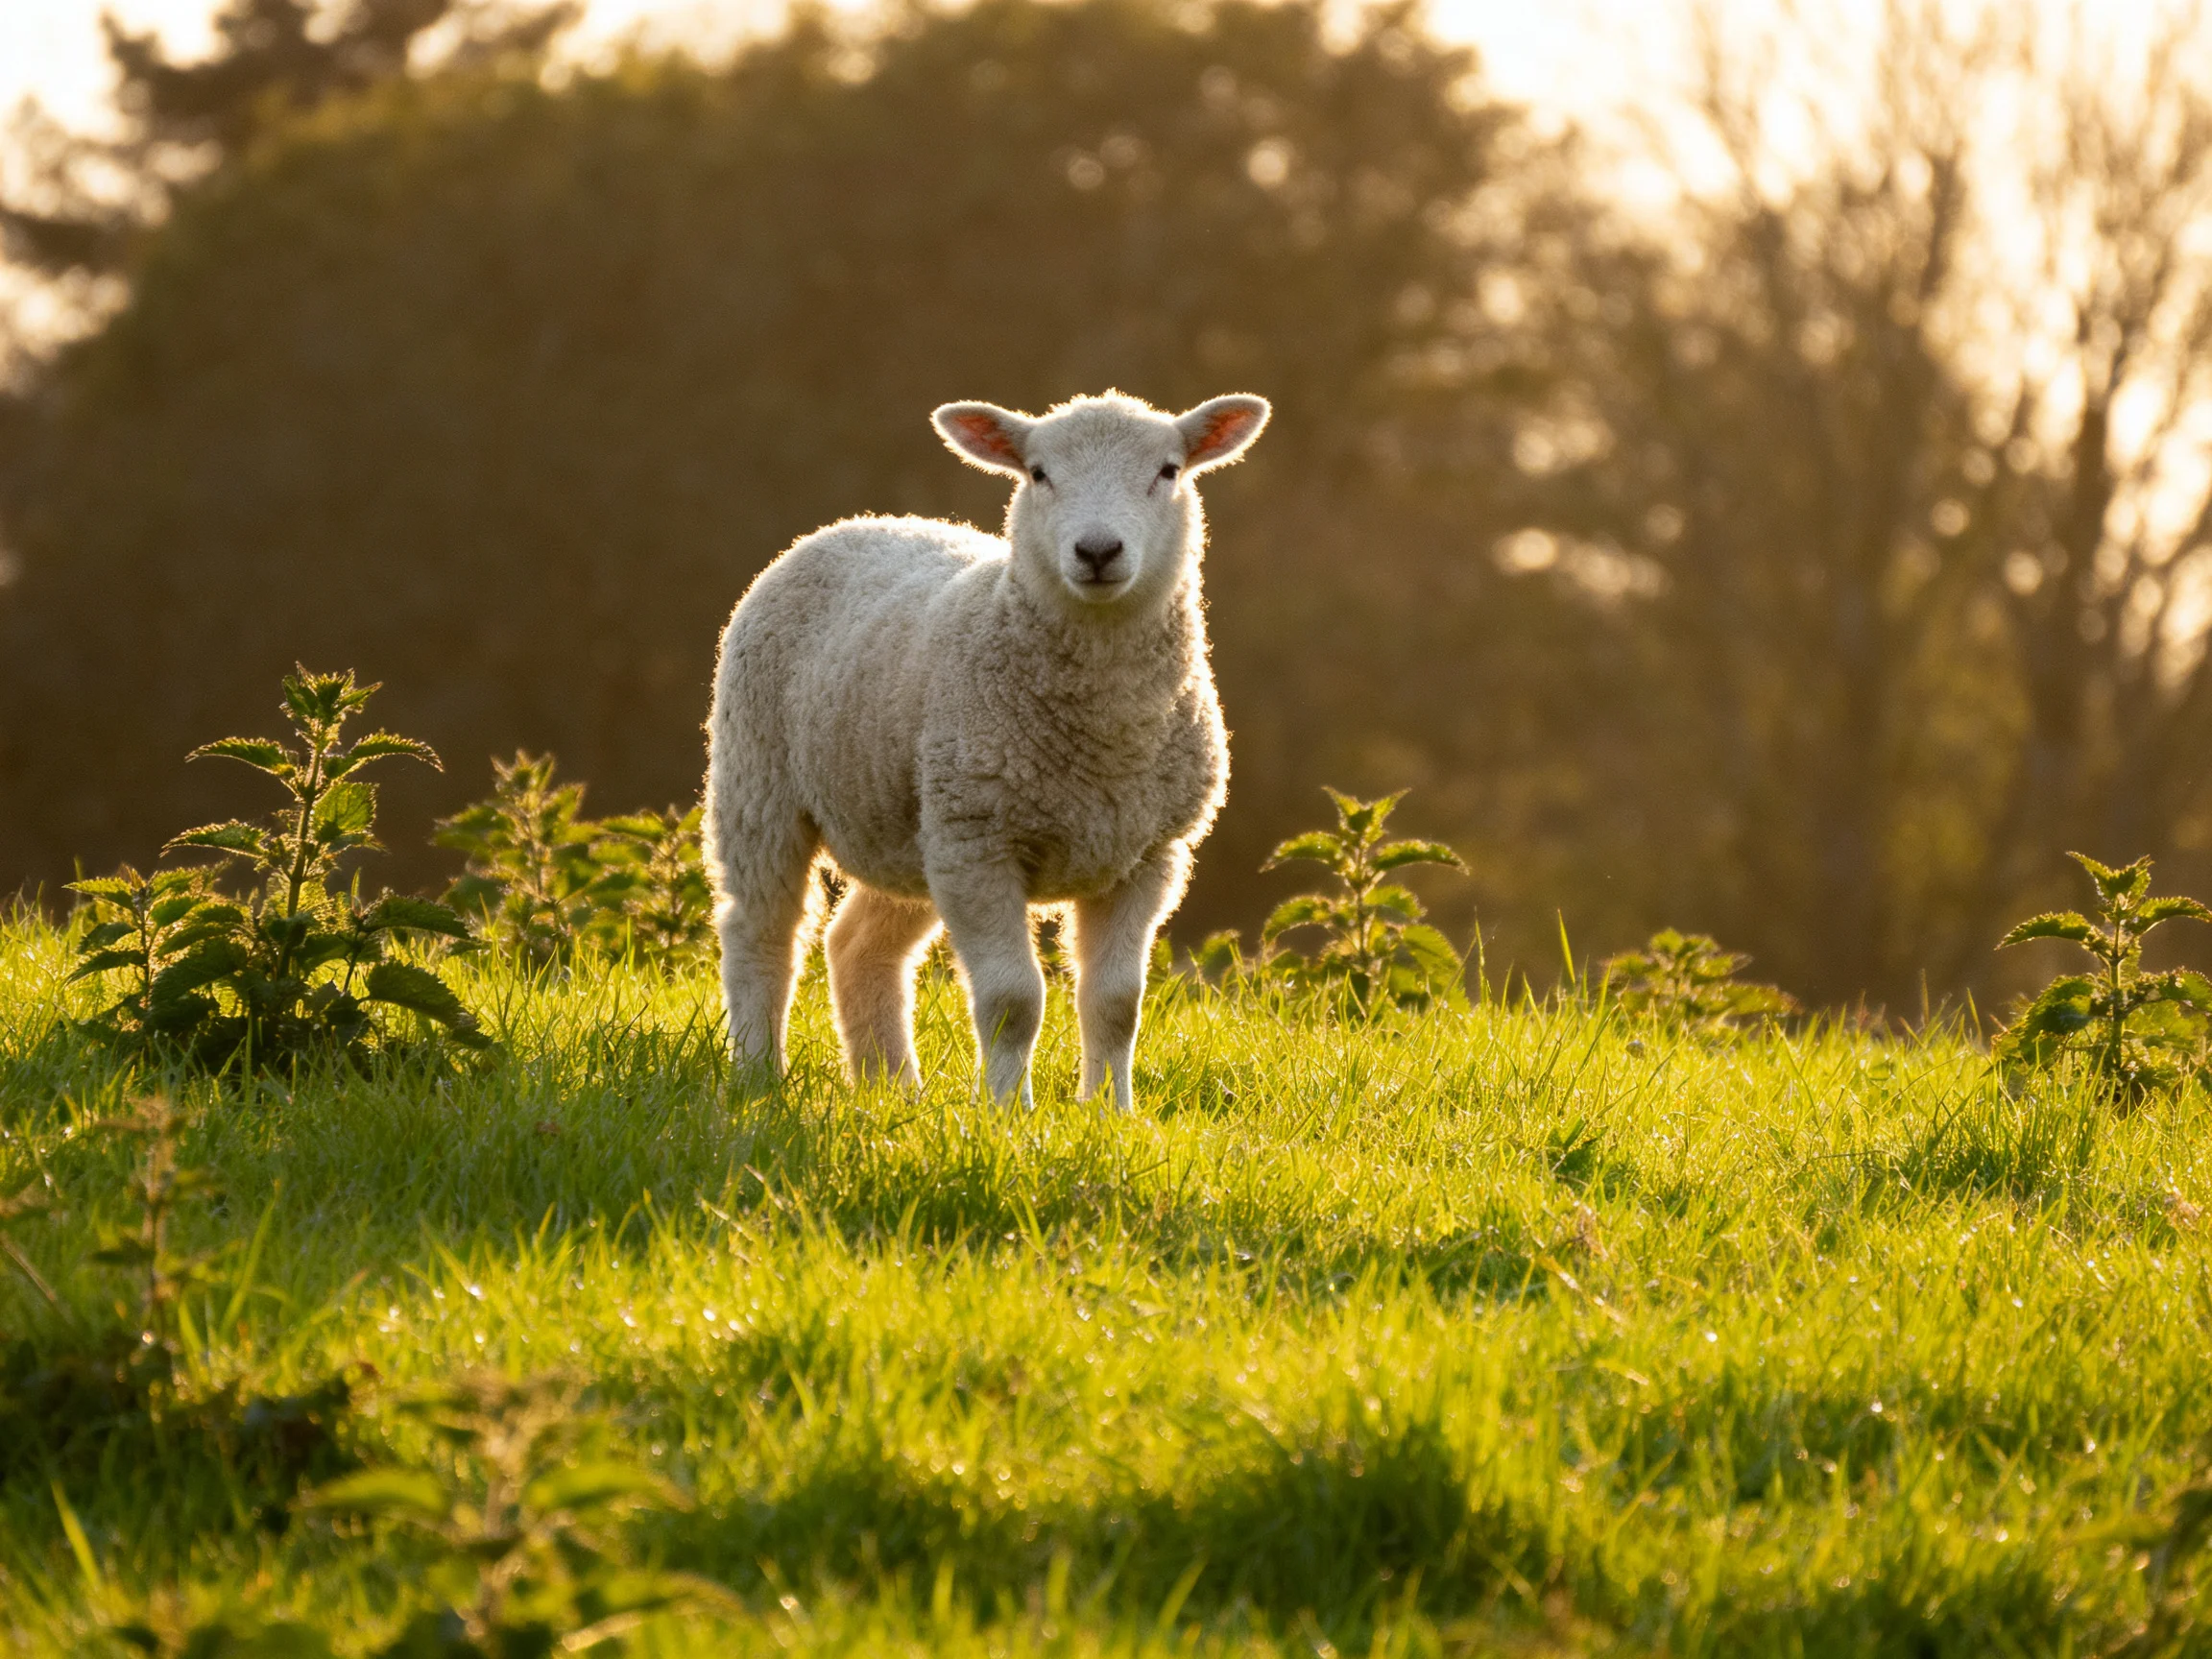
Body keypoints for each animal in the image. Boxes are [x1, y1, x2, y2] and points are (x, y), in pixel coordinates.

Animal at [702, 389, 1269, 1111]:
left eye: (1169, 471)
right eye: (1038, 473)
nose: (1097, 550)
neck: (1105, 736)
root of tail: (855, 524)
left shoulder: (1149, 855)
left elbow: (1117, 1003)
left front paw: (1110, 1113)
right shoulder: (981, 844)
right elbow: (1012, 1001)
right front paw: (1007, 1114)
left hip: (913, 826)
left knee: (856, 945)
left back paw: (892, 1089)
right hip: (761, 780)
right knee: (761, 931)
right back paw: (757, 1076)